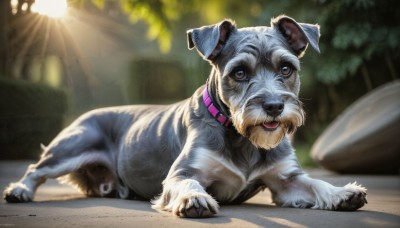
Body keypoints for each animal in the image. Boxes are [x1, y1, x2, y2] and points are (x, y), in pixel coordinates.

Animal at [3, 15, 366, 218]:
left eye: (287, 68)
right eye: (239, 73)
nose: (275, 106)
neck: (241, 137)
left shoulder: (286, 181)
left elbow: (314, 182)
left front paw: (341, 193)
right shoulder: (182, 173)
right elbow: (188, 182)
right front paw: (194, 197)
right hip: (69, 148)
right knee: (36, 169)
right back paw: (19, 190)